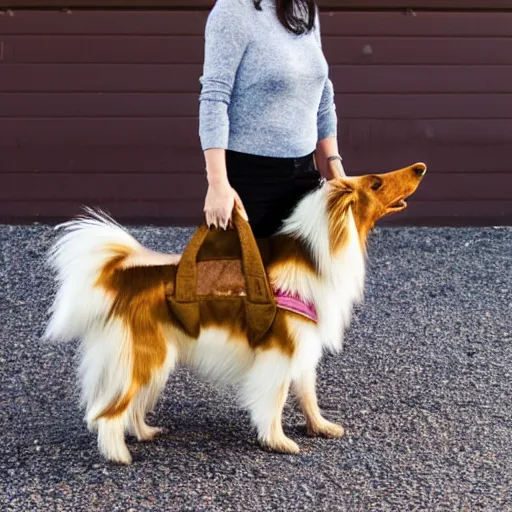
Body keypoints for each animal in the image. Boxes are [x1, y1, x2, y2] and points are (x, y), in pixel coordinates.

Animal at [44, 162, 426, 462]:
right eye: (376, 183)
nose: (420, 168)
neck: (315, 255)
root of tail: (125, 278)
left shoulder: (304, 346)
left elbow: (308, 394)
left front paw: (320, 427)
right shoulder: (279, 353)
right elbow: (276, 400)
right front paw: (278, 442)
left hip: (156, 360)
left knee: (132, 406)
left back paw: (144, 433)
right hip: (145, 357)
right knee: (109, 411)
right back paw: (118, 455)